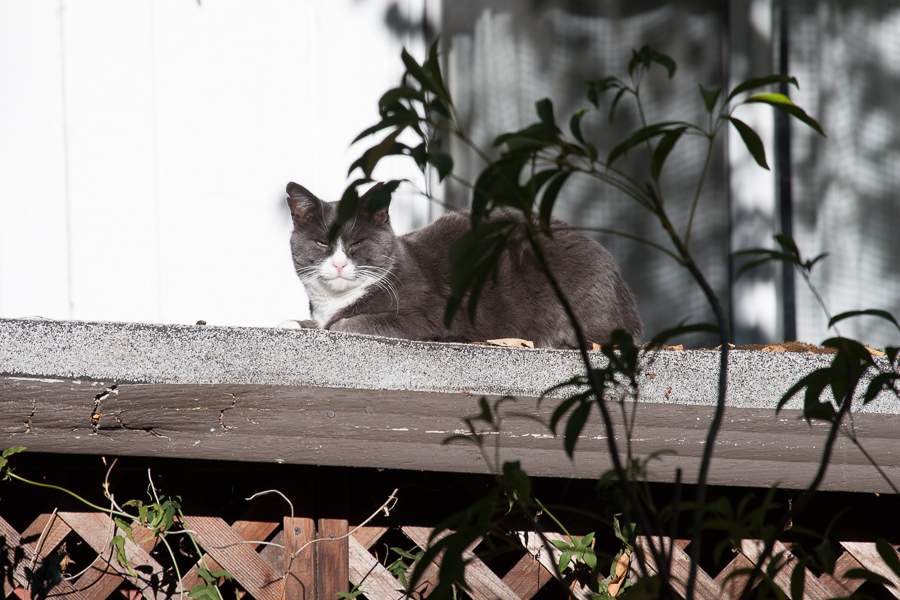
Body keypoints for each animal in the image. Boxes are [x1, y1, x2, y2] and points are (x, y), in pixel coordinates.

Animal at [282, 182, 640, 346]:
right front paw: (295, 323)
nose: (339, 265)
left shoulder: (421, 317)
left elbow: (347, 323)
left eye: (357, 243)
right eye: (322, 243)